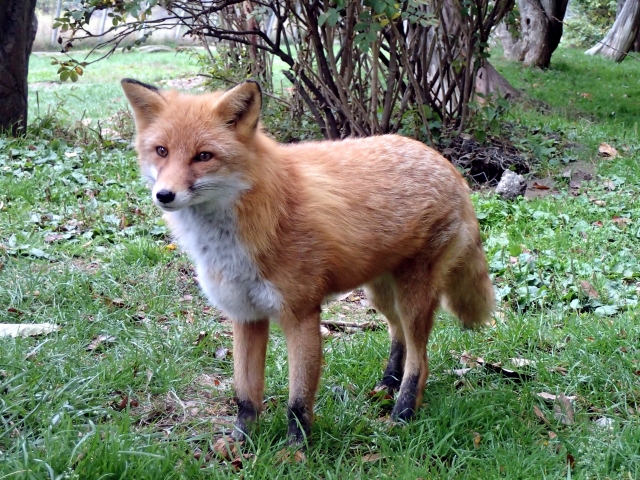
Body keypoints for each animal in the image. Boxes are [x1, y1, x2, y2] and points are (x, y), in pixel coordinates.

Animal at [121, 79, 496, 446]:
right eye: (162, 151)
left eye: (203, 156)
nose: (164, 195)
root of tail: (448, 165)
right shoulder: (245, 315)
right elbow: (245, 394)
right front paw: (241, 444)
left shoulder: (300, 314)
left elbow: (298, 400)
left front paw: (295, 450)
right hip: (382, 294)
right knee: (397, 334)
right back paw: (388, 382)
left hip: (412, 297)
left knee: (421, 360)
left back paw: (402, 413)